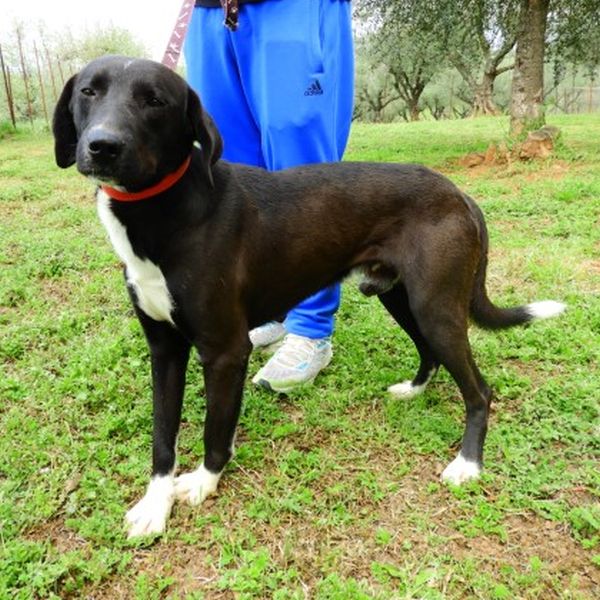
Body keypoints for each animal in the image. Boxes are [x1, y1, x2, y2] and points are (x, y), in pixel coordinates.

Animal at [52, 56, 565, 538]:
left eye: (155, 101)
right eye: (88, 92)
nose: (102, 145)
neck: (164, 211)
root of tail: (460, 194)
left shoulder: (224, 352)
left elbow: (215, 429)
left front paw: (203, 481)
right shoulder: (164, 349)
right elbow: (163, 436)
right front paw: (154, 505)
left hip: (435, 306)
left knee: (480, 390)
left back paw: (468, 464)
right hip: (399, 295)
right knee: (430, 352)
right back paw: (414, 390)